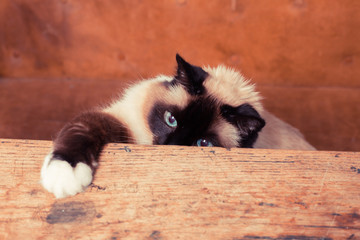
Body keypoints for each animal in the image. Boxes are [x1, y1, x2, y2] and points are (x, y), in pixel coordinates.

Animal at [40, 54, 316, 199]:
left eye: (203, 144)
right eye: (170, 120)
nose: (170, 147)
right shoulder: (121, 124)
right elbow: (82, 129)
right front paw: (64, 173)